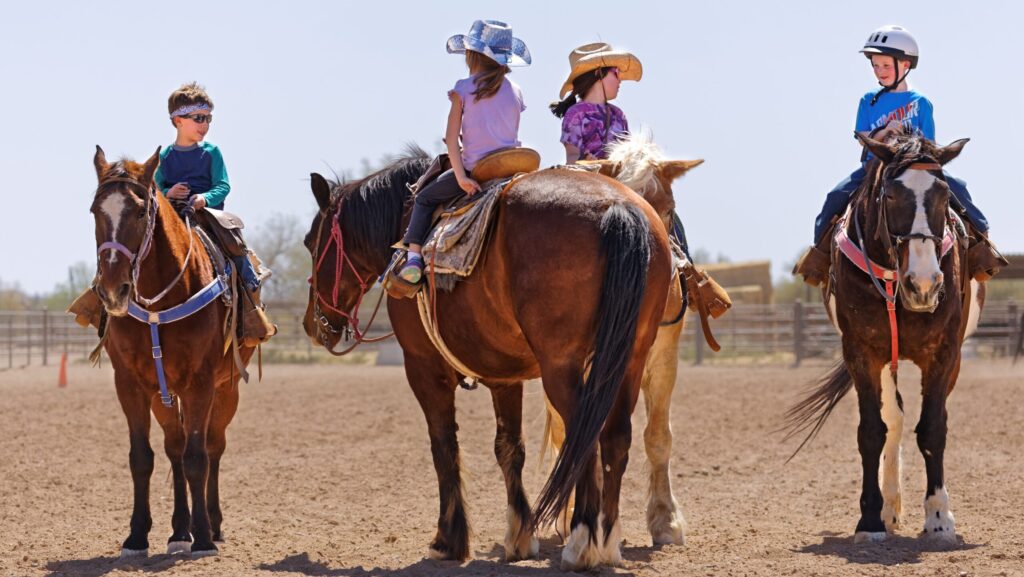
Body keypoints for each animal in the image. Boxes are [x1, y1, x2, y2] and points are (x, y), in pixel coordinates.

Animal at [90, 146, 253, 557]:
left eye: (140, 212)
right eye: (95, 210)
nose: (113, 289)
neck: (159, 301)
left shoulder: (200, 383)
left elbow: (199, 457)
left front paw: (205, 537)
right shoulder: (130, 385)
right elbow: (142, 458)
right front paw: (136, 536)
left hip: (226, 390)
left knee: (212, 447)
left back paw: (211, 524)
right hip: (163, 397)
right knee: (175, 448)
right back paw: (179, 530)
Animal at [299, 147, 675, 569]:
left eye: (310, 242)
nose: (312, 323)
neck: (405, 219)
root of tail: (617, 206)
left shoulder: (423, 368)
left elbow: (444, 446)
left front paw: (448, 539)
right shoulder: (504, 375)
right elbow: (509, 448)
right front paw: (519, 536)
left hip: (562, 367)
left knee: (585, 440)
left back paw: (581, 543)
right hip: (630, 360)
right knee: (615, 437)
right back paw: (607, 542)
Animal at [782, 132, 983, 545]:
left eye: (944, 194)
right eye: (890, 195)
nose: (924, 284)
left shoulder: (944, 353)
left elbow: (933, 429)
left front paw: (939, 518)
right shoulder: (863, 353)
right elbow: (873, 432)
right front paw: (871, 519)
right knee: (895, 418)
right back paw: (890, 508)